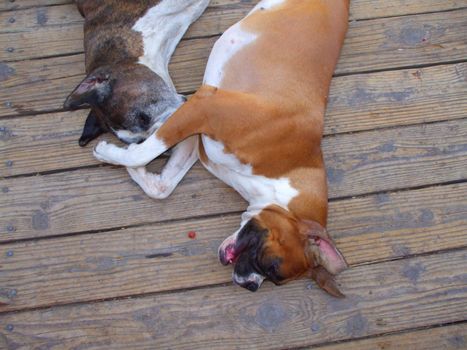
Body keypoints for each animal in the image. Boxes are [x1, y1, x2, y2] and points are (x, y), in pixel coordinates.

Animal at [93, 0, 350, 296]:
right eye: (273, 267)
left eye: (273, 279)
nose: (250, 285)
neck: (285, 173)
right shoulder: (202, 108)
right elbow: (147, 149)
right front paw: (112, 153)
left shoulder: (197, 137)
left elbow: (162, 184)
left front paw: (134, 169)